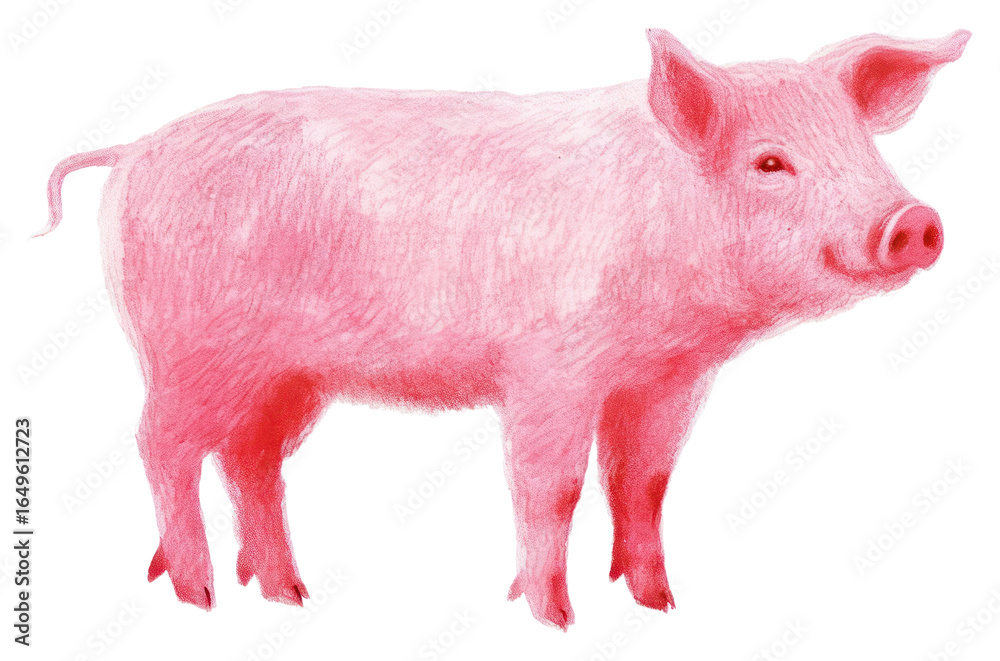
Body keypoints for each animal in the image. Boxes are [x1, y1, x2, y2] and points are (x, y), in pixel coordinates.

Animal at [41, 28, 969, 628]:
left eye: (863, 148)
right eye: (771, 162)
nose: (915, 222)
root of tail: (132, 149)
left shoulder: (669, 379)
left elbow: (645, 482)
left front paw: (661, 605)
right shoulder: (550, 368)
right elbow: (551, 486)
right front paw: (554, 619)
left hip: (286, 376)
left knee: (251, 460)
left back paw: (289, 597)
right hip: (188, 348)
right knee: (161, 445)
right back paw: (198, 597)